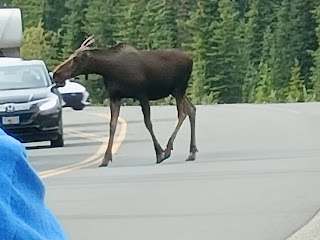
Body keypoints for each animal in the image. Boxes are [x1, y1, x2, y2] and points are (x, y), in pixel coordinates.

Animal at [53, 36, 198, 167]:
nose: (56, 74)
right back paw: (191, 152)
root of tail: (191, 59)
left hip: (178, 90)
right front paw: (105, 159)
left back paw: (168, 150)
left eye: (76, 58)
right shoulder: (115, 97)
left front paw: (159, 153)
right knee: (192, 109)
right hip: (179, 91)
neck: (109, 70)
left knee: (182, 113)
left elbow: (148, 123)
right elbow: (112, 125)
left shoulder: (142, 95)